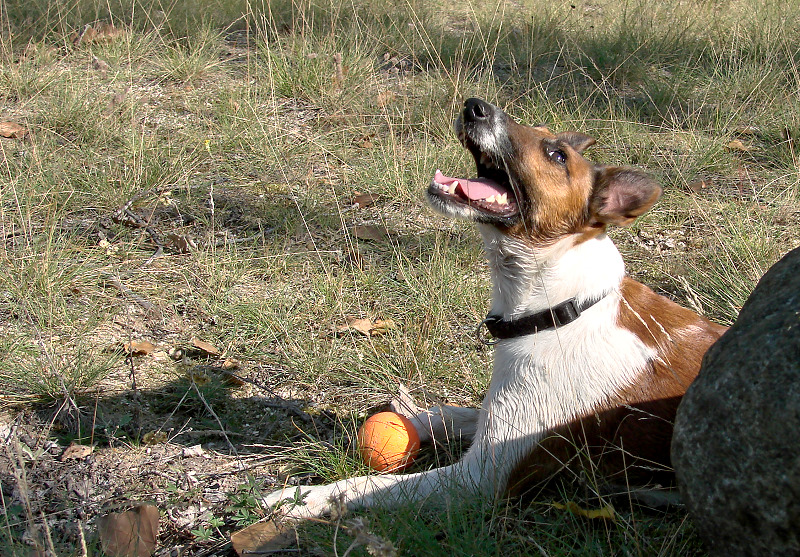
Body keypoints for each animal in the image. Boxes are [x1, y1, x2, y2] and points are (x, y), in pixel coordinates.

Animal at [266, 99, 728, 516]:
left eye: (557, 156)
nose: (474, 106)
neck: (561, 309)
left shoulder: (479, 477)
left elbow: (365, 486)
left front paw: (303, 498)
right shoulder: (497, 420)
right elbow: (453, 413)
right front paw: (412, 415)